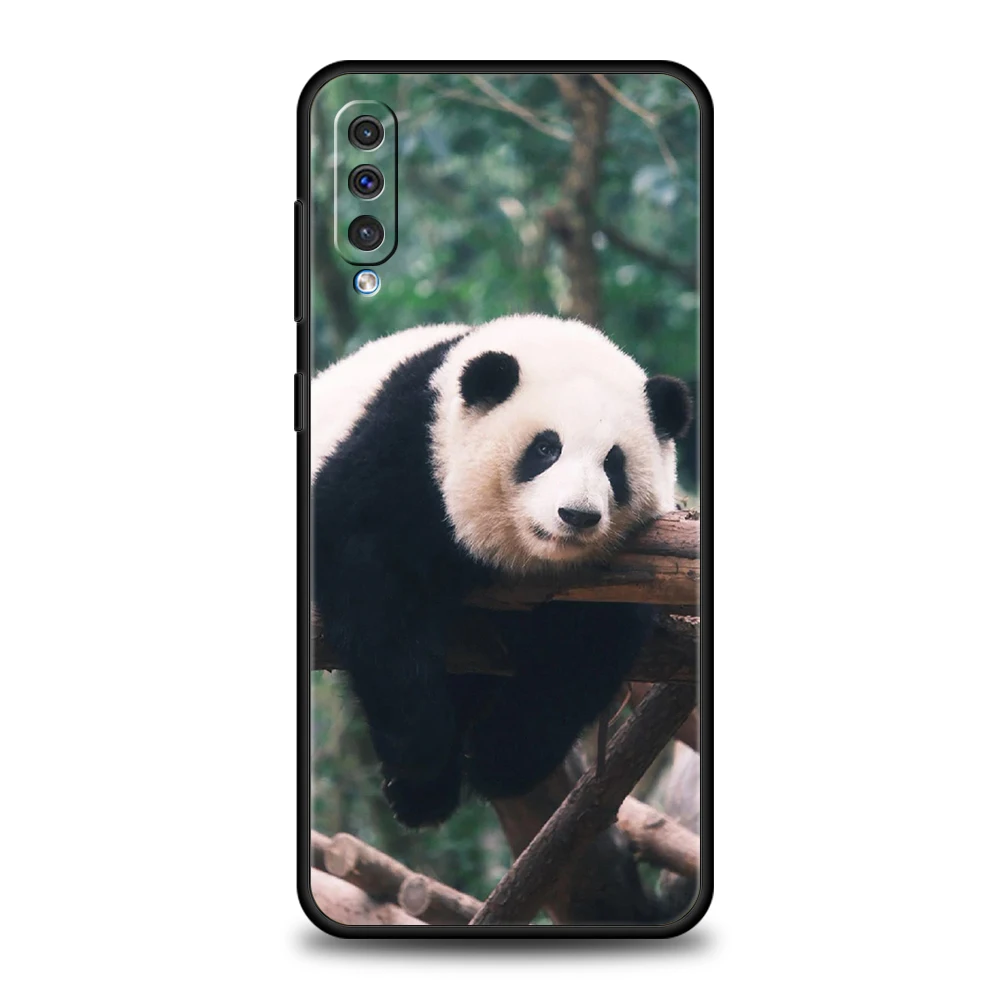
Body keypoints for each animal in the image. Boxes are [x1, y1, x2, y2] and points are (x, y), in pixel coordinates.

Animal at [312, 314, 692, 828]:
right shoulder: (404, 457)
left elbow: (584, 651)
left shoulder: (621, 575)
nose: (577, 515)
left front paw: (501, 759)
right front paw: (421, 757)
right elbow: (374, 595)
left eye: (614, 463)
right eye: (546, 448)